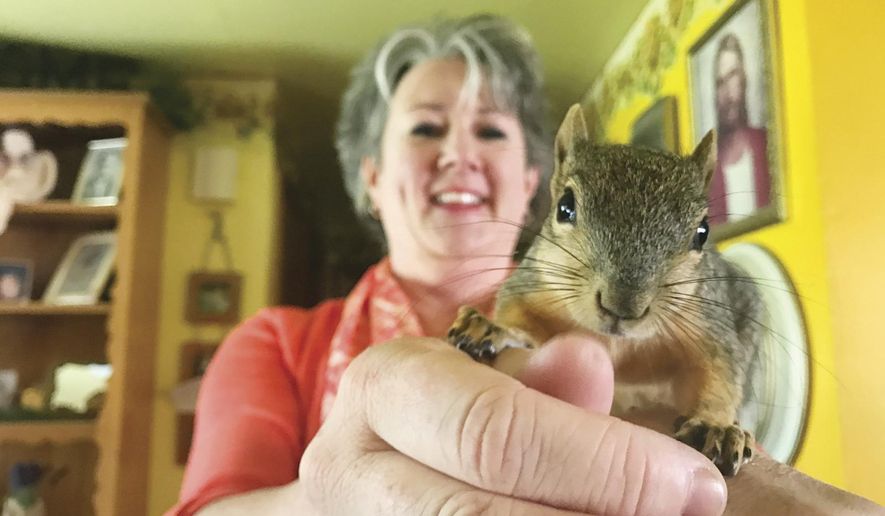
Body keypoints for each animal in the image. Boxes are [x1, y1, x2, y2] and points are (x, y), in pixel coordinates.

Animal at [447, 103, 764, 477]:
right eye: (565, 206)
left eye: (702, 232)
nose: (622, 306)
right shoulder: (530, 289)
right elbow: (518, 318)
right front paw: (492, 326)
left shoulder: (709, 324)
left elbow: (721, 372)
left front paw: (718, 425)